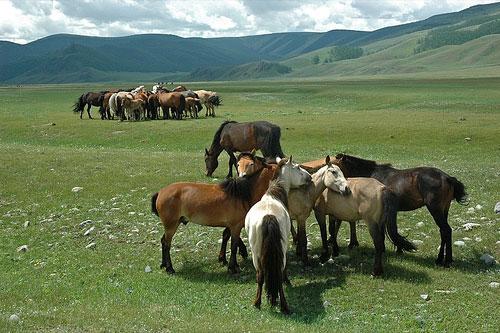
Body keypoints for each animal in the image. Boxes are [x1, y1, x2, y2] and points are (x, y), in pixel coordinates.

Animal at [150, 157, 310, 274]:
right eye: (296, 167)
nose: (309, 177)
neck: (243, 194)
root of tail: (161, 192)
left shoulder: (231, 225)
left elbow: (228, 239)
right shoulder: (235, 226)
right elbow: (233, 245)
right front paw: (233, 267)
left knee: (163, 241)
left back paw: (163, 264)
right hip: (171, 225)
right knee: (166, 243)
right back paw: (169, 268)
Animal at [244, 156, 310, 314]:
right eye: (297, 167)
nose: (309, 177)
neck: (272, 196)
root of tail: (269, 217)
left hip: (256, 254)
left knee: (260, 276)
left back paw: (257, 302)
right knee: (278, 275)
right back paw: (284, 305)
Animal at [330, 154, 466, 268]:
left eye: (337, 170)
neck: (371, 175)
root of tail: (447, 178)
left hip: (435, 210)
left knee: (446, 230)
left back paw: (447, 261)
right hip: (444, 210)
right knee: (443, 232)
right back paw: (440, 259)